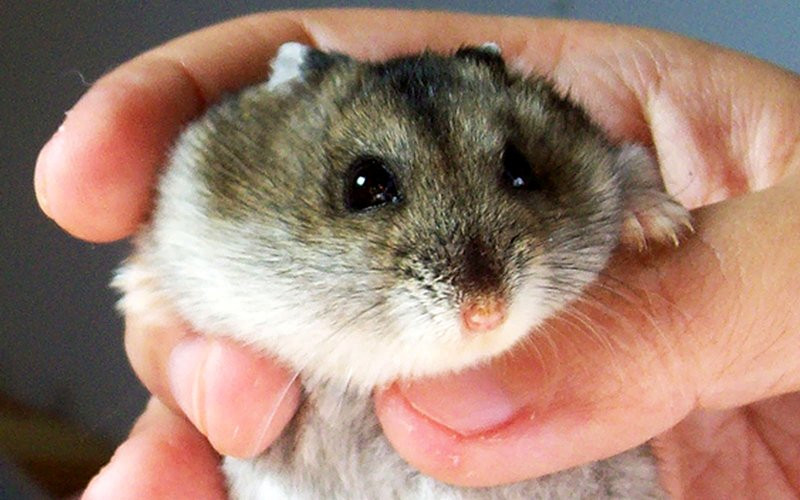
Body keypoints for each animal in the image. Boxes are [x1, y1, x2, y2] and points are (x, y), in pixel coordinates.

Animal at [114, 42, 690, 499]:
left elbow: (632, 166)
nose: (487, 314)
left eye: (520, 168)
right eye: (365, 184)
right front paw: (135, 290)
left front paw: (664, 226)